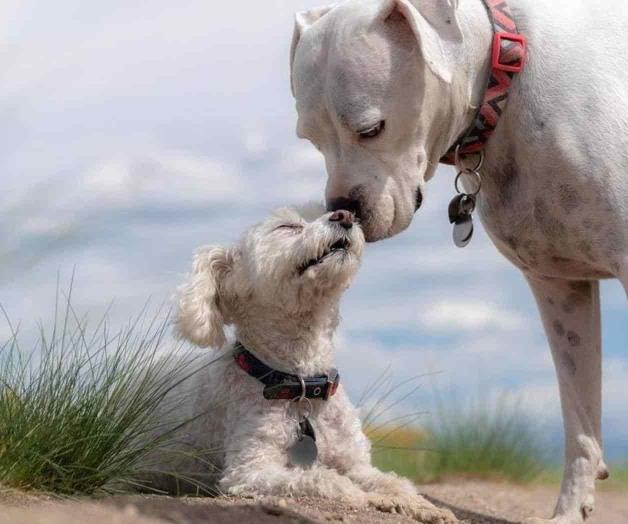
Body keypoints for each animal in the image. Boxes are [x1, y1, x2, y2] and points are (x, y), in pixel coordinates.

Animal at [164, 205, 454, 524]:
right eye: (287, 227)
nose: (345, 214)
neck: (303, 385)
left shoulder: (356, 463)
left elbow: (394, 482)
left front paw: (424, 506)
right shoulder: (249, 470)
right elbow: (325, 479)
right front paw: (368, 497)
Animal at [292, 1, 628, 524]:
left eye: (371, 129)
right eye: (310, 139)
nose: (342, 209)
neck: (505, 74)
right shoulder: (559, 286)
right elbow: (580, 417)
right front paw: (571, 510)